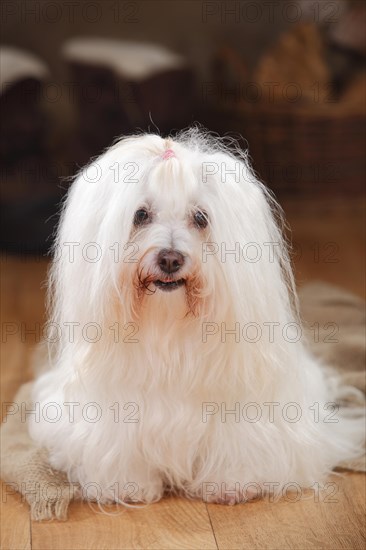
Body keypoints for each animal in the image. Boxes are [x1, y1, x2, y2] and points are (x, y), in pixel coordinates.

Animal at [28, 130, 364, 508]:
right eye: (141, 215)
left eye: (201, 218)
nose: (170, 259)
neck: (169, 328)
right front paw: (127, 484)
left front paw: (230, 483)